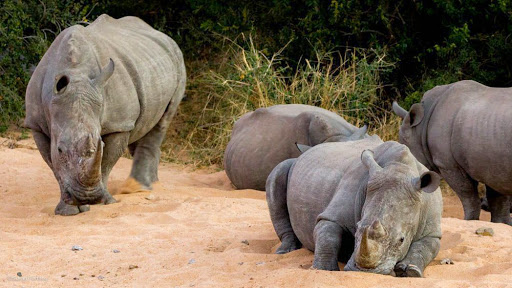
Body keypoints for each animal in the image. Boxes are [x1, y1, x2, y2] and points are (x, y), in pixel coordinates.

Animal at [24, 14, 187, 215]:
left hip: (178, 60)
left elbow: (107, 162)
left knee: (162, 121)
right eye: (60, 149)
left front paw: (104, 202)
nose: (86, 197)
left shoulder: (119, 124)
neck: (75, 74)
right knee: (142, 125)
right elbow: (54, 166)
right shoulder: (36, 125)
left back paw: (138, 188)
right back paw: (149, 184)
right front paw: (67, 211)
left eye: (99, 144)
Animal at [266, 137, 442, 276]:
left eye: (401, 240)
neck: (400, 167)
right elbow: (328, 236)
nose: (365, 272)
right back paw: (284, 252)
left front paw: (410, 271)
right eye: (357, 228)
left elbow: (426, 247)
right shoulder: (333, 214)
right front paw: (323, 270)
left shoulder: (432, 228)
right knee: (278, 172)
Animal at [394, 79, 512, 225]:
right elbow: (499, 201)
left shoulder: (448, 164)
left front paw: (469, 221)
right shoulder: (492, 165)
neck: (420, 128)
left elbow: (468, 195)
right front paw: (502, 224)